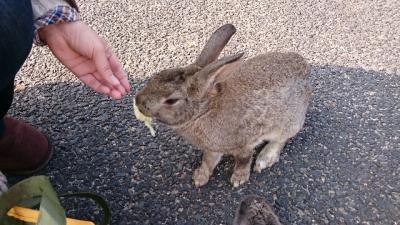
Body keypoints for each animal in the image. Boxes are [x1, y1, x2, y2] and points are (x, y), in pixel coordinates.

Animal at [136, 23, 310, 187]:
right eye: (158, 75)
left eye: (171, 101)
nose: (138, 102)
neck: (204, 112)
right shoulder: (212, 148)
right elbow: (208, 160)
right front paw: (200, 177)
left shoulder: (243, 144)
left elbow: (243, 160)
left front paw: (239, 179)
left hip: (287, 124)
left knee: (281, 140)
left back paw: (265, 159)